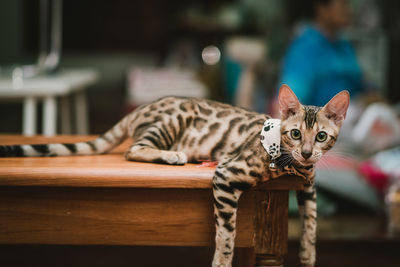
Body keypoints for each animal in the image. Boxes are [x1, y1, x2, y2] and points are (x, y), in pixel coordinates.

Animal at [0, 85, 350, 267]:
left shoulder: (309, 183)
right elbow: (227, 234)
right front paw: (222, 262)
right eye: (295, 133)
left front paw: (308, 254)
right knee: (133, 149)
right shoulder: (226, 175)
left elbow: (312, 220)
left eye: (321, 136)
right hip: (169, 123)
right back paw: (174, 155)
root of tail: (140, 109)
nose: (307, 153)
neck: (292, 165)